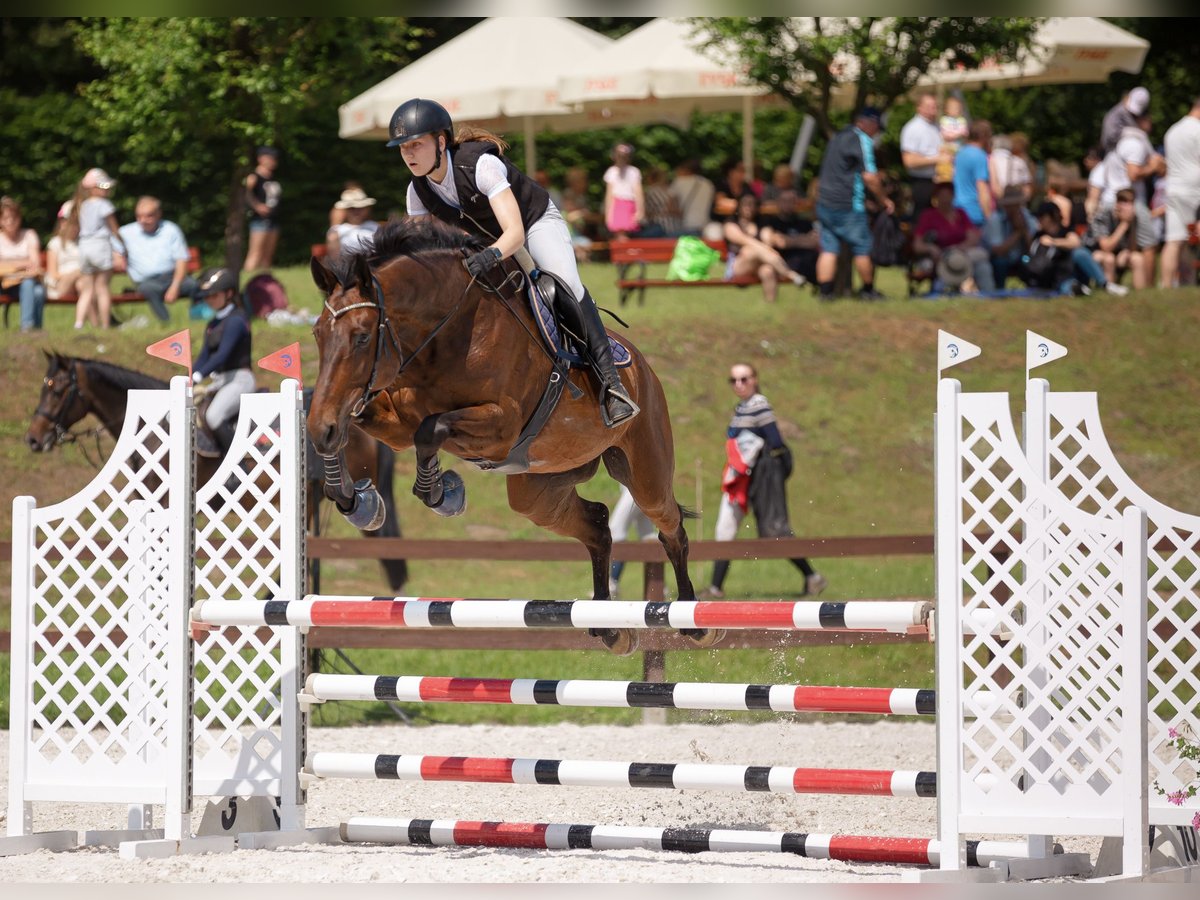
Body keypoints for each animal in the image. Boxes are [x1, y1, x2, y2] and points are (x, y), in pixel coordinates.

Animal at [307, 218, 710, 657]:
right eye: (317, 334)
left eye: (362, 337)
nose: (317, 429)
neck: (445, 335)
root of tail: (642, 367)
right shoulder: (395, 425)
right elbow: (363, 421)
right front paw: (356, 501)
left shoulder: (500, 427)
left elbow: (431, 429)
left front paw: (444, 495)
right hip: (537, 491)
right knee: (598, 524)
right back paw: (609, 627)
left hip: (644, 471)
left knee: (671, 527)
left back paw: (693, 620)